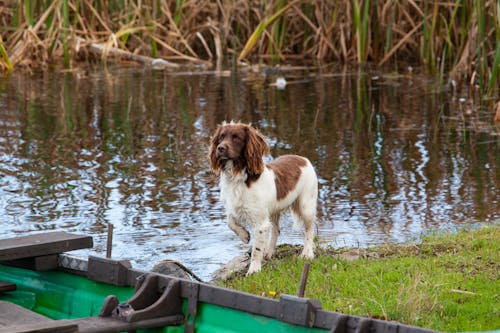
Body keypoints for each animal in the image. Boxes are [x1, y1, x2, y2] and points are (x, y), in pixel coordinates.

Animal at [209, 120, 318, 274]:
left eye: (236, 138)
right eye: (221, 137)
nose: (220, 148)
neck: (238, 178)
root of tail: (303, 158)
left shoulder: (260, 222)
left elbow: (256, 249)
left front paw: (253, 270)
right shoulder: (234, 207)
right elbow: (230, 222)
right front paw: (244, 236)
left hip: (306, 205)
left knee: (309, 229)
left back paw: (307, 253)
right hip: (273, 211)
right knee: (276, 230)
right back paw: (269, 252)